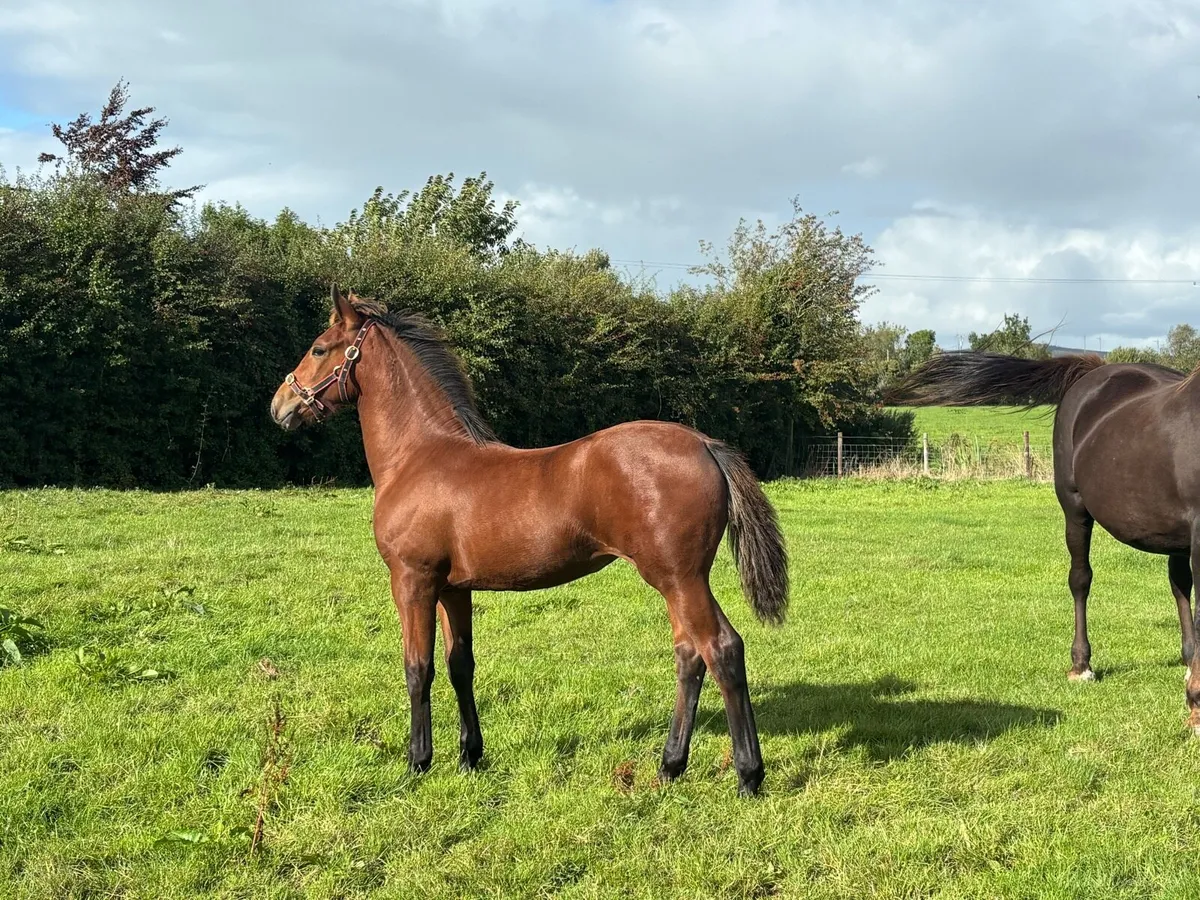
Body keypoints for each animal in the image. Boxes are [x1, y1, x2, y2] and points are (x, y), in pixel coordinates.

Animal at [269, 286, 790, 795]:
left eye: (319, 348)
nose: (279, 405)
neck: (421, 456)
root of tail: (704, 444)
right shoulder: (453, 589)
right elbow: (460, 664)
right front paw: (469, 756)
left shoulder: (412, 581)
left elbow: (418, 668)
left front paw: (417, 763)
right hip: (677, 581)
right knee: (689, 656)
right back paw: (669, 767)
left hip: (680, 578)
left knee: (721, 649)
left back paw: (748, 776)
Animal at [890, 350, 1200, 732]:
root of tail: (1094, 371)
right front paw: (1195, 704)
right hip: (1075, 509)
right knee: (1081, 580)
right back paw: (1082, 665)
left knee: (1179, 586)